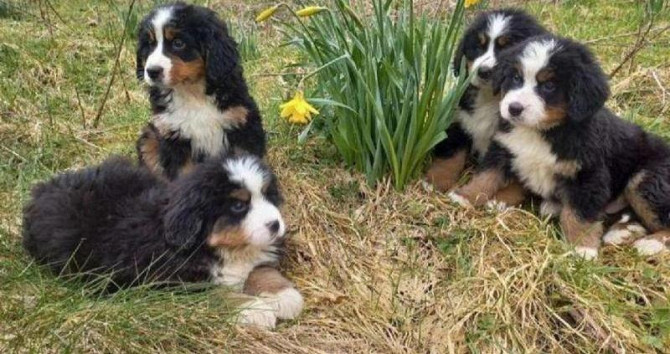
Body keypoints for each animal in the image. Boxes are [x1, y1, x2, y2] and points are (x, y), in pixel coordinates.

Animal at [22, 155, 304, 330]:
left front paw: (282, 295)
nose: (275, 225)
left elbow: (260, 270)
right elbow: (218, 293)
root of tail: (44, 189)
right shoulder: (172, 282)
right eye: (238, 205)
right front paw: (255, 309)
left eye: (267, 195)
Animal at [134, 2, 266, 180]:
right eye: (149, 44)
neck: (192, 92)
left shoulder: (242, 125)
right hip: (149, 138)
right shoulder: (173, 136)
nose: (152, 71)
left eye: (178, 43)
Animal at [428, 8, 548, 206]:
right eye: (479, 47)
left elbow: (515, 178)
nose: (484, 72)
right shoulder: (460, 120)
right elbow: (451, 155)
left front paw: (502, 199)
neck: (490, 98)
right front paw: (435, 180)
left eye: (508, 48)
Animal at [448, 35, 670, 258]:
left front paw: (582, 247)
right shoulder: (503, 149)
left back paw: (649, 243)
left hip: (645, 180)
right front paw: (465, 196)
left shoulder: (588, 175)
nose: (514, 108)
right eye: (516, 78)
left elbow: (579, 212)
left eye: (549, 85)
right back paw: (622, 232)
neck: (540, 130)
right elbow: (486, 177)